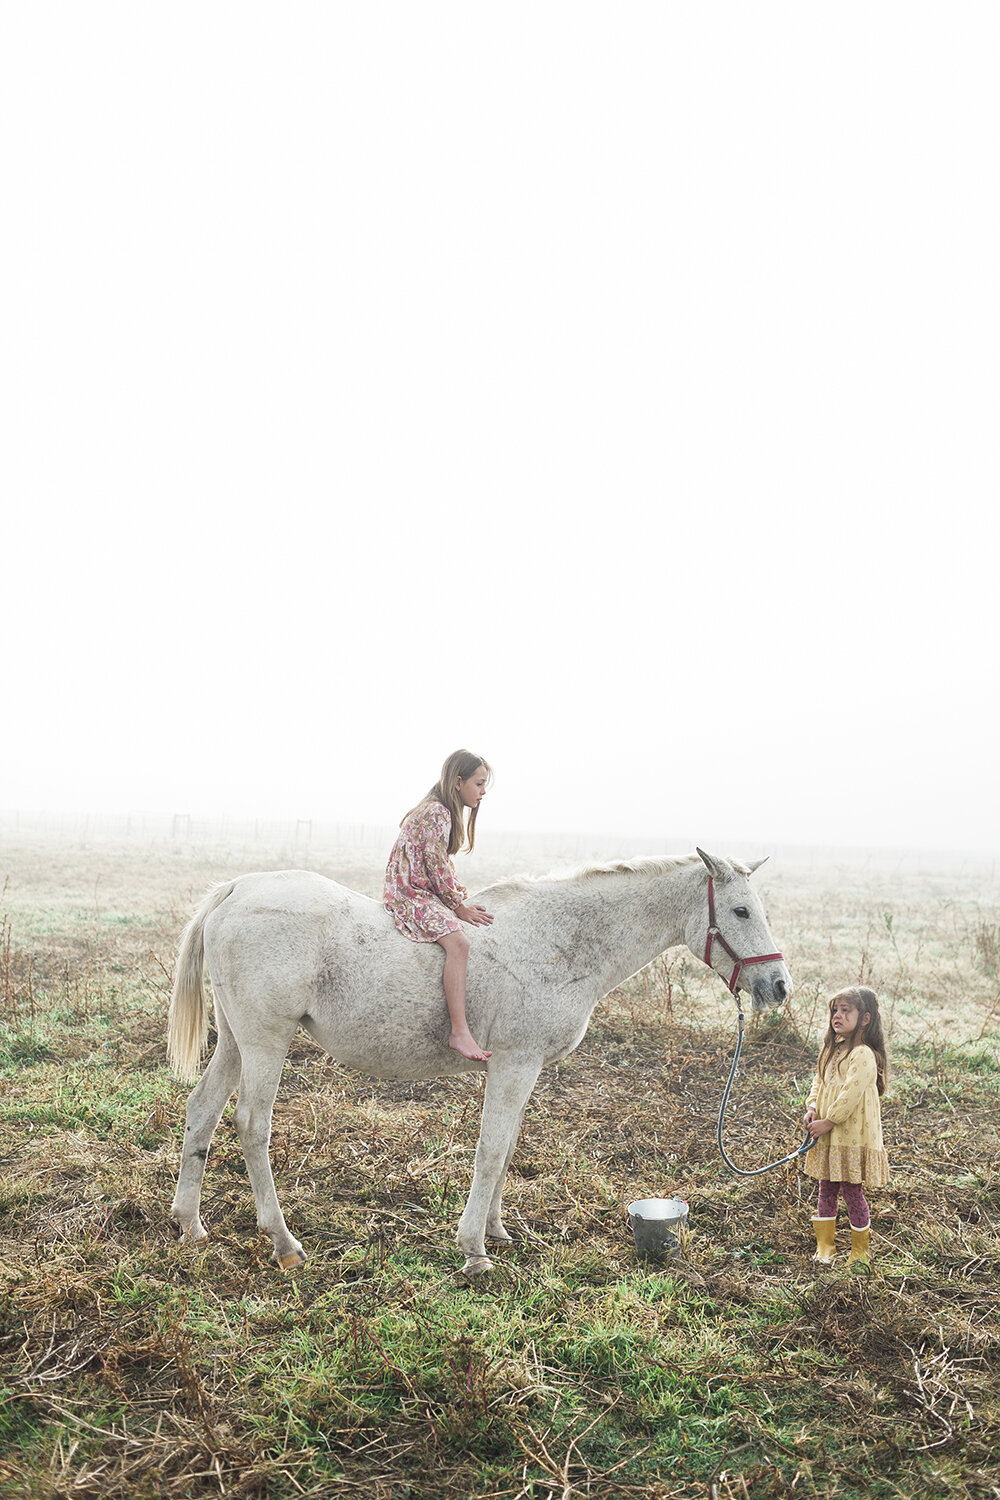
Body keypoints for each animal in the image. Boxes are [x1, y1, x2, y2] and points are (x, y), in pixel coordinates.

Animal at [167, 852, 791, 1272]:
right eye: (740, 910)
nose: (779, 986)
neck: (560, 942)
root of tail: (237, 888)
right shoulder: (514, 1064)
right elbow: (491, 1151)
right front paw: (473, 1250)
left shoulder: (522, 1069)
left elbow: (507, 1148)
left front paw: (496, 1232)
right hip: (266, 1043)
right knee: (252, 1127)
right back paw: (283, 1242)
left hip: (235, 1042)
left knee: (202, 1112)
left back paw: (190, 1225)